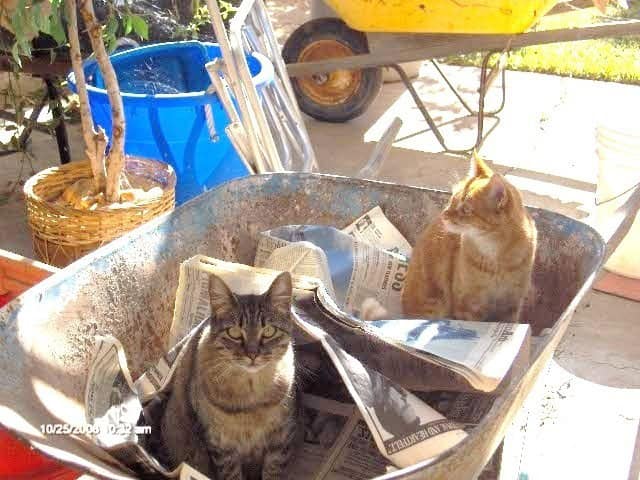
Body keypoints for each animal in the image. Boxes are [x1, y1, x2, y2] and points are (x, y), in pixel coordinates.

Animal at [160, 272, 300, 478]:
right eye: (234, 332)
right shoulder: (221, 446)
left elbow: (273, 472)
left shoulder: (281, 440)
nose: (252, 354)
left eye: (269, 331)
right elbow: (231, 474)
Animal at [402, 153, 536, 322]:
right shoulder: (468, 306)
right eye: (452, 200)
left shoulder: (511, 306)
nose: (444, 215)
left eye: (465, 209)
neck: (495, 259)